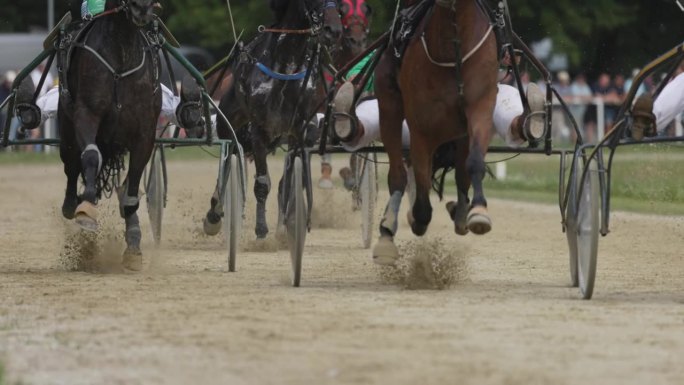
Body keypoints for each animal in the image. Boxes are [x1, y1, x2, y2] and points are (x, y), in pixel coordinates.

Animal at [58, 0, 160, 270]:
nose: (142, 8)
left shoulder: (145, 131)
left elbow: (133, 184)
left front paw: (133, 244)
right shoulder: (87, 113)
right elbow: (91, 156)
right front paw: (86, 208)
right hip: (66, 131)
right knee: (72, 166)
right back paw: (72, 203)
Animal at [202, 0, 342, 238]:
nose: (333, 30)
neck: (286, 63)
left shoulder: (297, 130)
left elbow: (287, 184)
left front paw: (287, 227)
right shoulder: (259, 129)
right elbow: (261, 184)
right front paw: (261, 229)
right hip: (228, 122)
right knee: (228, 157)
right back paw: (215, 213)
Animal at [374, 0, 496, 262]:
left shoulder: (481, 105)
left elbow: (473, 163)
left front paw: (478, 210)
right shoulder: (421, 128)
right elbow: (421, 191)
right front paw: (416, 217)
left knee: (461, 171)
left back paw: (460, 211)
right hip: (388, 105)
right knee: (398, 174)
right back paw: (387, 234)